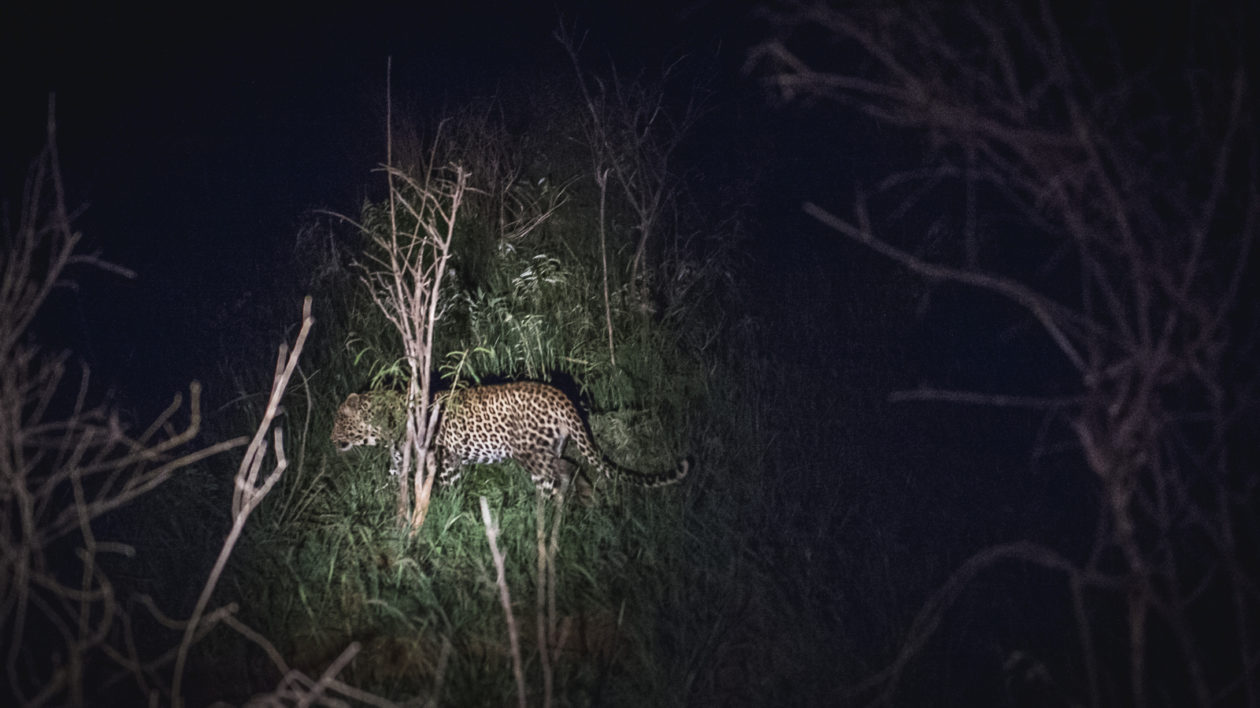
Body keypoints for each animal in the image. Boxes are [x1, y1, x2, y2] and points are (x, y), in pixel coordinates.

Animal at [330, 380, 690, 491]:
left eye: (338, 423)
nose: (330, 440)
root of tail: (560, 395)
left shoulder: (446, 461)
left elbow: (445, 489)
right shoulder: (399, 461)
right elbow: (390, 482)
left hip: (531, 455)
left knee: (557, 478)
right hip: (549, 450)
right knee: (570, 469)